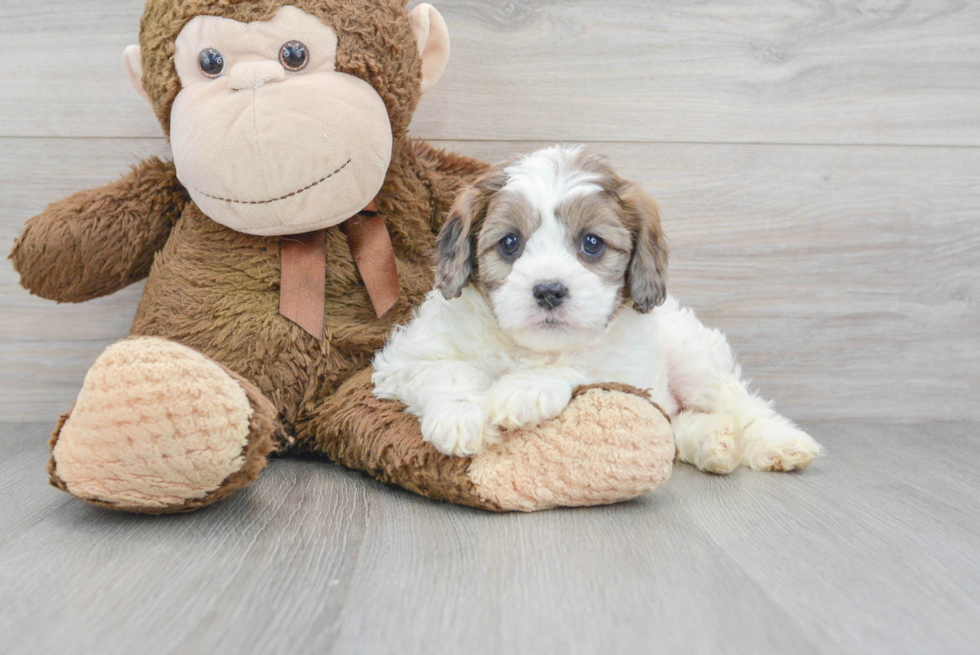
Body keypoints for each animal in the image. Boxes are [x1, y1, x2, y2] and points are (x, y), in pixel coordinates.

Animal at [372, 146, 824, 474]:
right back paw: (715, 441)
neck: (533, 349)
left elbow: (582, 367)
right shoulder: (403, 359)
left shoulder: (629, 372)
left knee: (739, 404)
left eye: (592, 243)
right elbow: (446, 371)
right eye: (509, 243)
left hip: (693, 359)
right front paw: (460, 417)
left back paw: (777, 442)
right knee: (676, 426)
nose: (549, 290)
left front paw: (524, 389)